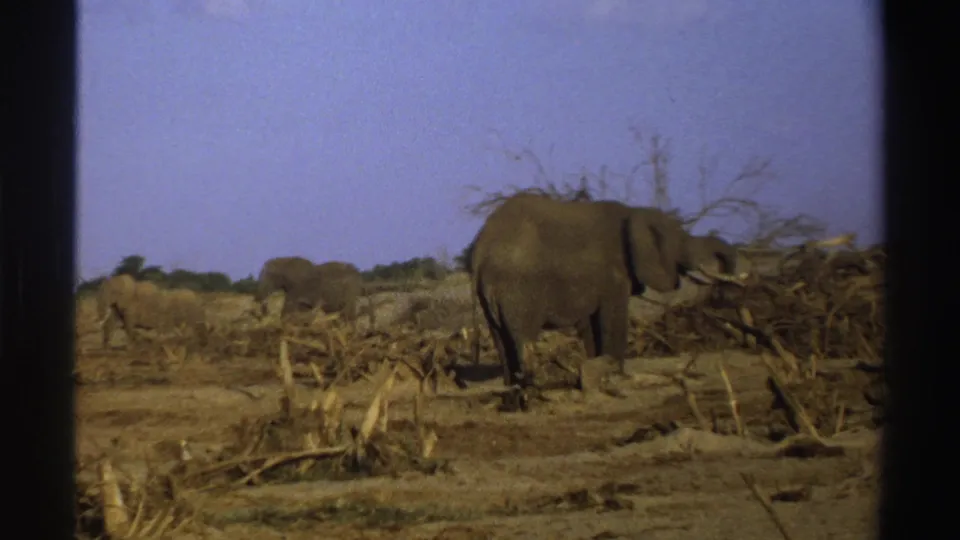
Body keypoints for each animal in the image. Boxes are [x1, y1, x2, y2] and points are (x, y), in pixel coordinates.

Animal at [467, 194, 747, 397]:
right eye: (679, 240)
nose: (727, 295)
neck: (635, 213)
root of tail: (480, 255)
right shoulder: (613, 275)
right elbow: (613, 317)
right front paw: (617, 375)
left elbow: (592, 325)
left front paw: (599, 369)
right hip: (519, 289)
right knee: (523, 337)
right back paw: (533, 386)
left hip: (487, 298)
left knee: (501, 339)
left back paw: (513, 385)